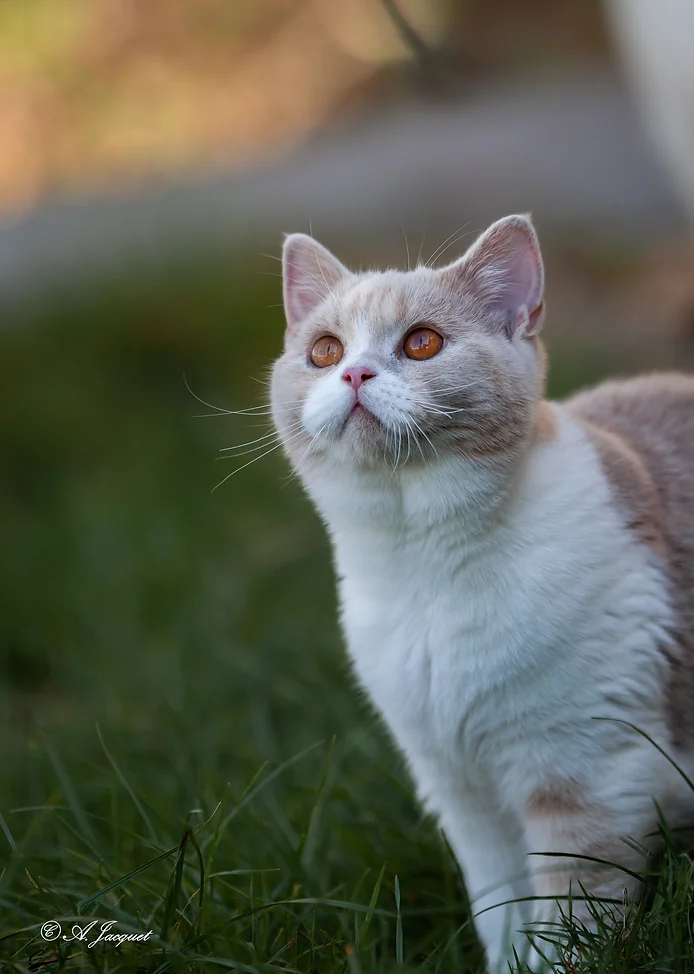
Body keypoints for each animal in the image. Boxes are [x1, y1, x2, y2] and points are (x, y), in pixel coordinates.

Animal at [270, 217, 694, 972]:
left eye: (421, 343)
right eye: (323, 350)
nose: (354, 372)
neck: (424, 574)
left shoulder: (587, 777)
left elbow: (570, 923)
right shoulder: (462, 792)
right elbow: (501, 905)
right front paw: (506, 961)